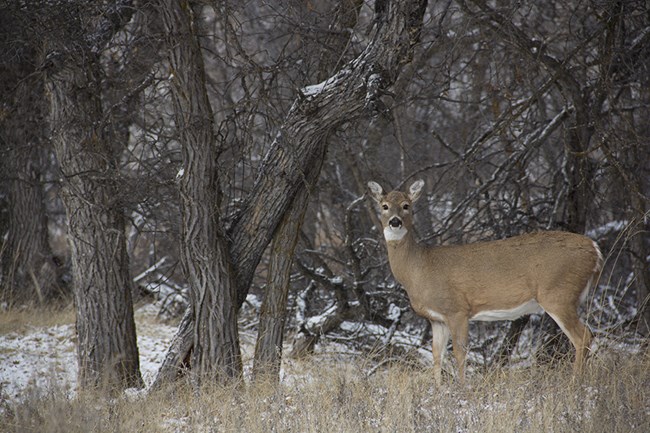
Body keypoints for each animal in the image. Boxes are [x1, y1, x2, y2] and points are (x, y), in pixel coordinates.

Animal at [368, 181, 600, 384]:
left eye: (406, 205)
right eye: (384, 206)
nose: (395, 221)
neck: (419, 268)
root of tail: (595, 249)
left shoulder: (457, 310)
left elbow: (460, 353)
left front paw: (462, 389)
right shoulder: (437, 319)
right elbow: (436, 356)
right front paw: (439, 390)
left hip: (558, 295)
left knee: (583, 337)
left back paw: (574, 383)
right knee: (587, 335)